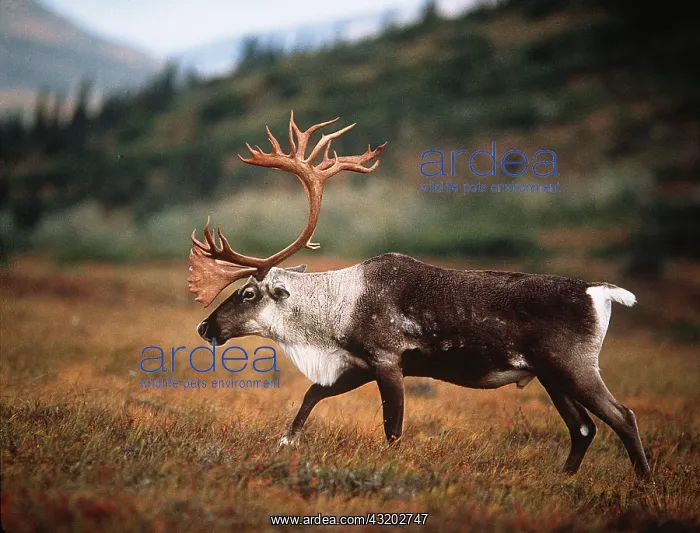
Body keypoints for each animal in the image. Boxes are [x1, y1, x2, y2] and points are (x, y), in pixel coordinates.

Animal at [188, 112, 652, 481]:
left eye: (248, 292)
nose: (205, 325)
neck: (335, 312)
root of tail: (600, 292)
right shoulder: (360, 364)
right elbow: (312, 395)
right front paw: (286, 442)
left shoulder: (387, 360)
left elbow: (392, 427)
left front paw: (388, 465)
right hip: (550, 375)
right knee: (584, 428)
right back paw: (564, 479)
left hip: (574, 366)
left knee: (622, 416)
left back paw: (644, 484)